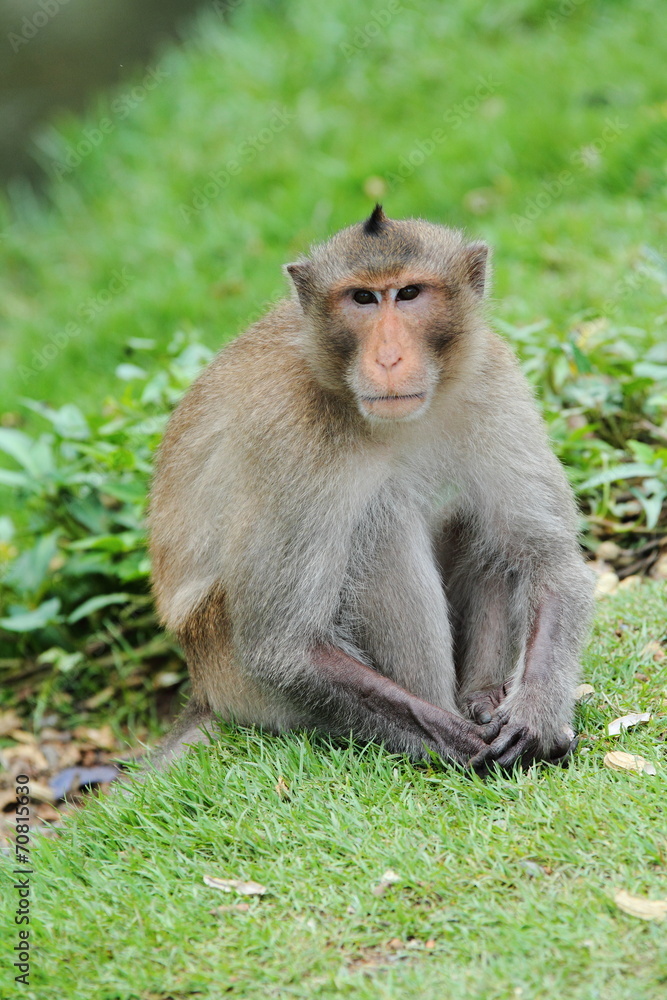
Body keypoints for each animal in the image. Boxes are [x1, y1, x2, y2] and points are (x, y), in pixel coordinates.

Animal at [148, 205, 594, 773]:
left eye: (408, 294)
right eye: (362, 298)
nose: (387, 358)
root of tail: (204, 690)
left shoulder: (493, 380)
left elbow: (549, 564)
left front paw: (534, 716)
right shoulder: (291, 432)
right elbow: (286, 648)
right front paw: (458, 742)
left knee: (482, 526)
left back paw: (484, 696)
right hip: (227, 662)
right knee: (382, 525)